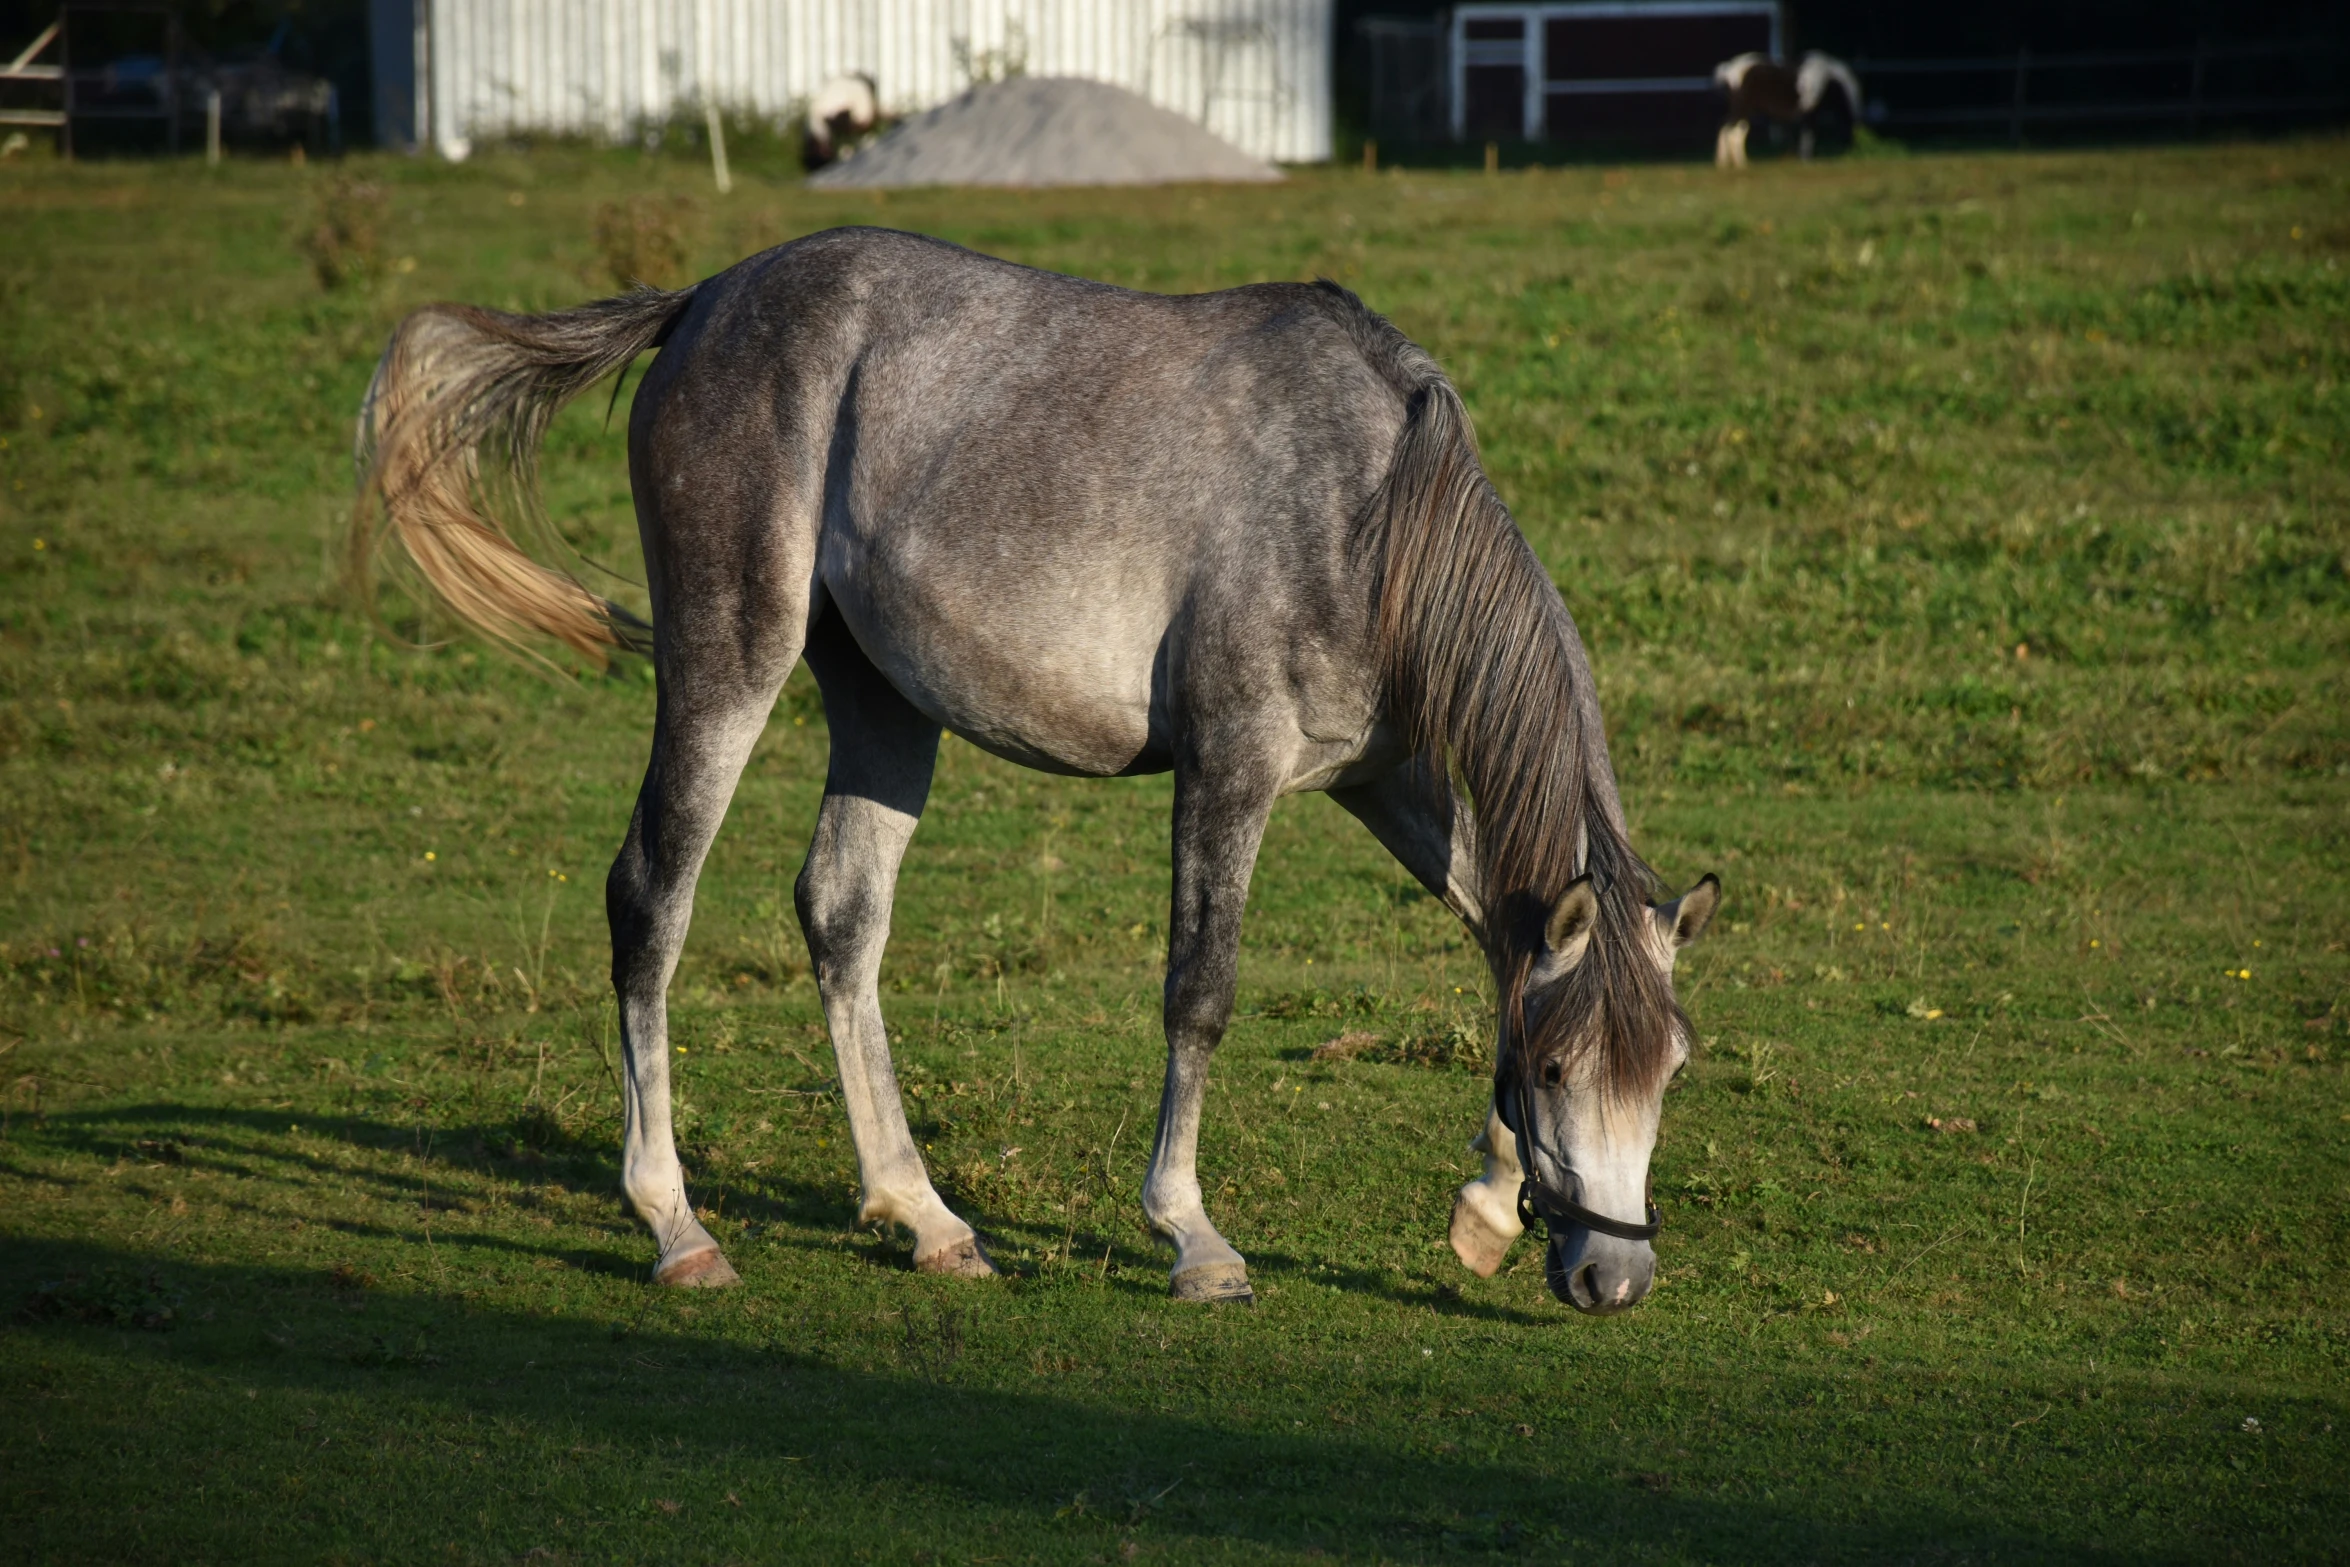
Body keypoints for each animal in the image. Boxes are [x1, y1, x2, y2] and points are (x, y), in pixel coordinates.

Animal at [347, 226, 1720, 1315]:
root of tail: (705, 300)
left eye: (1668, 1070)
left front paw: (1484, 1206)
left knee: (841, 915)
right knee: (652, 897)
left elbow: (1500, 935)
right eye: (1560, 1072)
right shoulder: (1231, 767)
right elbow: (1200, 992)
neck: (1371, 513)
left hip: (884, 705)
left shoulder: (1385, 780)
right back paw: (675, 1223)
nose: (1613, 1278)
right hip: (726, 658)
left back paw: (924, 1216)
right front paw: (1192, 1236)